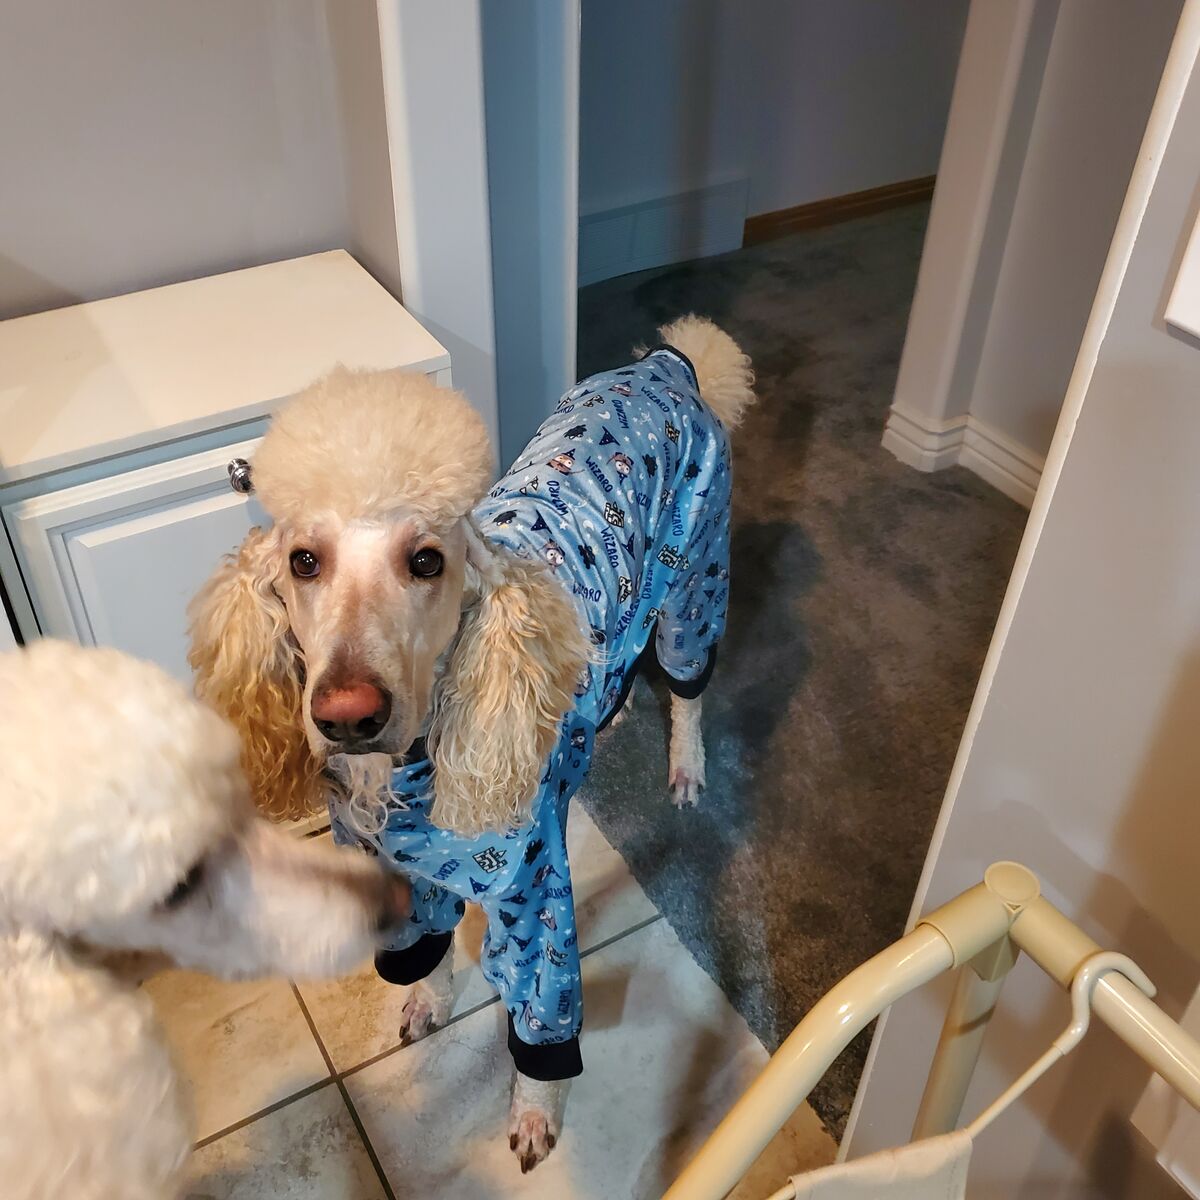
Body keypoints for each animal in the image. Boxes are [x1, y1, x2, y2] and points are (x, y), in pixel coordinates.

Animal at [188, 314, 754, 1170]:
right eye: (302, 561)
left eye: (427, 561)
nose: (347, 714)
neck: (399, 777)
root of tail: (668, 367)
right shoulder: (391, 870)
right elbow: (424, 947)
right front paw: (428, 1000)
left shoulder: (533, 895)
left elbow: (540, 1015)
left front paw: (535, 1115)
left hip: (696, 579)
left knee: (689, 685)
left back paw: (686, 765)